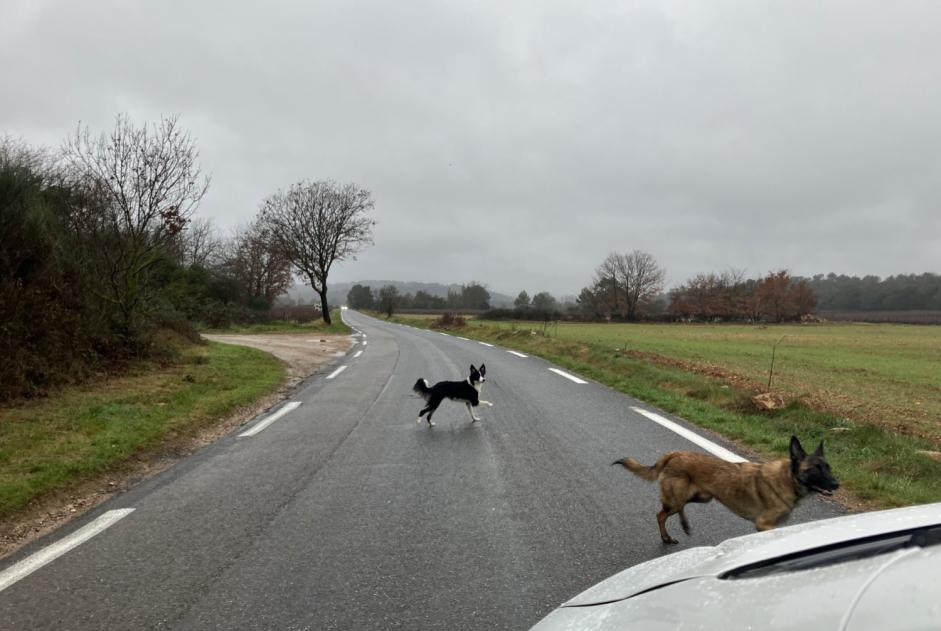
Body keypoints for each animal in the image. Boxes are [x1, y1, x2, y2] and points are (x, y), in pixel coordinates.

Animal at [612, 436, 840, 544]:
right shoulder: (764, 525)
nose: (837, 484)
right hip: (678, 497)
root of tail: (674, 454)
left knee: (674, 510)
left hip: (701, 496)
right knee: (661, 514)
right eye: (814, 469)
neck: (788, 479)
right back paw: (668, 537)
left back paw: (684, 526)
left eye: (828, 467)